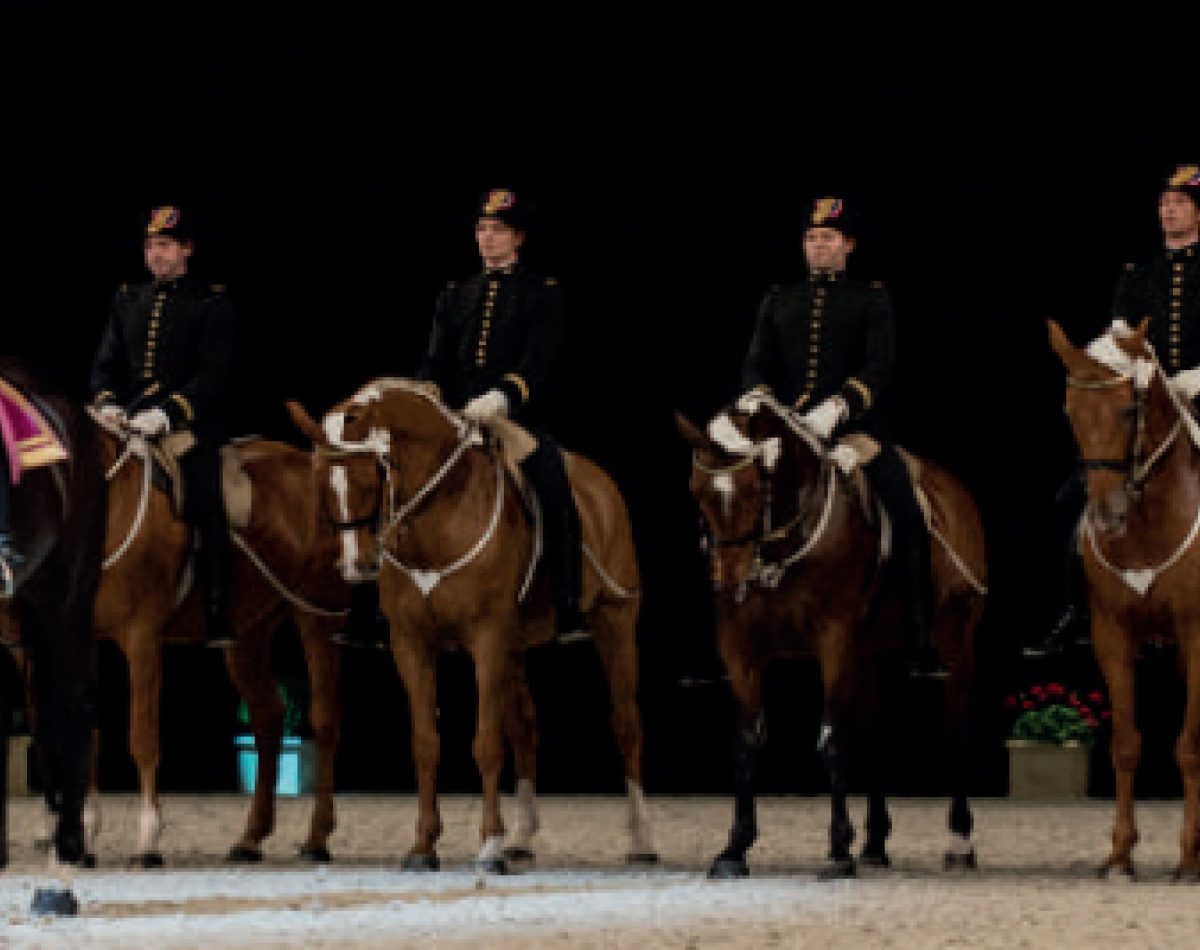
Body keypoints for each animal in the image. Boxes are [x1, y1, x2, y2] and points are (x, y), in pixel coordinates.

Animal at [79, 424, 348, 868]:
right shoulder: (82, 640)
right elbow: (84, 734)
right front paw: (81, 838)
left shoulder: (141, 638)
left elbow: (142, 737)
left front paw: (148, 841)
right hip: (249, 633)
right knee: (268, 717)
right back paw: (251, 838)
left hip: (318, 614)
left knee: (325, 719)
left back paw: (316, 839)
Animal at [286, 381, 662, 878]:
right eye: (319, 483)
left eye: (373, 473)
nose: (357, 566)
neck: (439, 519)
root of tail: (600, 481)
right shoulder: (413, 644)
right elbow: (426, 743)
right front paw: (423, 846)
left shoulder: (487, 639)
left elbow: (485, 744)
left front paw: (488, 846)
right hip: (517, 646)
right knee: (525, 727)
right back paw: (521, 838)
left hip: (614, 625)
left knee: (626, 724)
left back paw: (641, 840)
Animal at [676, 391, 984, 878]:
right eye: (697, 493)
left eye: (753, 489)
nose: (727, 583)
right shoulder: (740, 650)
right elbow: (745, 742)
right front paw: (734, 848)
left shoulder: (833, 644)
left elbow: (833, 739)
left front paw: (839, 851)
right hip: (868, 652)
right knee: (877, 732)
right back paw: (875, 843)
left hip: (956, 637)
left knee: (955, 733)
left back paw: (960, 842)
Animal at [1046, 319, 1200, 882]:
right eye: (1069, 410)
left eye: (1128, 411)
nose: (1106, 516)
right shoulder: (1112, 634)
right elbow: (1127, 745)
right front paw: (1119, 855)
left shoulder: (1198, 636)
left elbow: (1189, 748)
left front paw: (1188, 859)